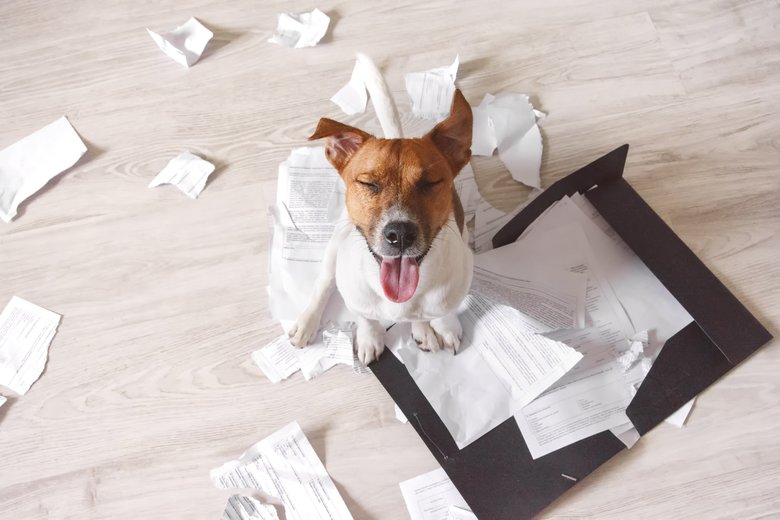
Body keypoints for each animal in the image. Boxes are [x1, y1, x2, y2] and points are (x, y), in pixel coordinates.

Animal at [284, 54, 472, 364]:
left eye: (430, 183)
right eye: (368, 183)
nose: (400, 234)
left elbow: (441, 312)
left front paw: (441, 327)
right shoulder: (358, 301)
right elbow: (366, 319)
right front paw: (370, 339)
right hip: (336, 243)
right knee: (324, 282)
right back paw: (307, 322)